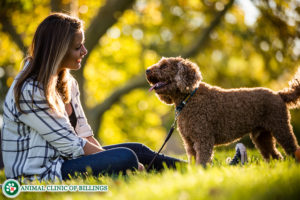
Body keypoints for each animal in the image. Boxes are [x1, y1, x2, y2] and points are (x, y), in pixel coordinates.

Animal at [146, 56, 300, 166]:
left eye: (164, 66)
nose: (147, 70)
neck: (188, 99)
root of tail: (279, 94)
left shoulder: (203, 139)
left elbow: (202, 162)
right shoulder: (189, 143)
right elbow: (193, 162)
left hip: (280, 127)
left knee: (293, 149)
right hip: (262, 135)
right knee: (274, 155)